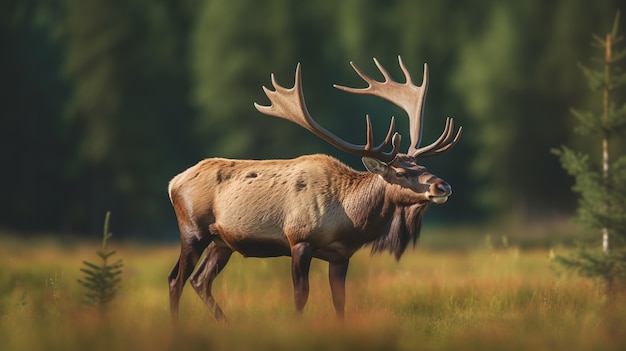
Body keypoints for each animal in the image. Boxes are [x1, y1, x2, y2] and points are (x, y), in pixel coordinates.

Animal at [168, 56, 460, 324]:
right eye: (400, 173)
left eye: (422, 165)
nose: (443, 186)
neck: (350, 220)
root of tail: (173, 182)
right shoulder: (299, 240)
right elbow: (301, 295)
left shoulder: (341, 255)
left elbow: (340, 301)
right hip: (193, 230)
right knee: (176, 279)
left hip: (222, 242)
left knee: (199, 280)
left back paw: (226, 325)